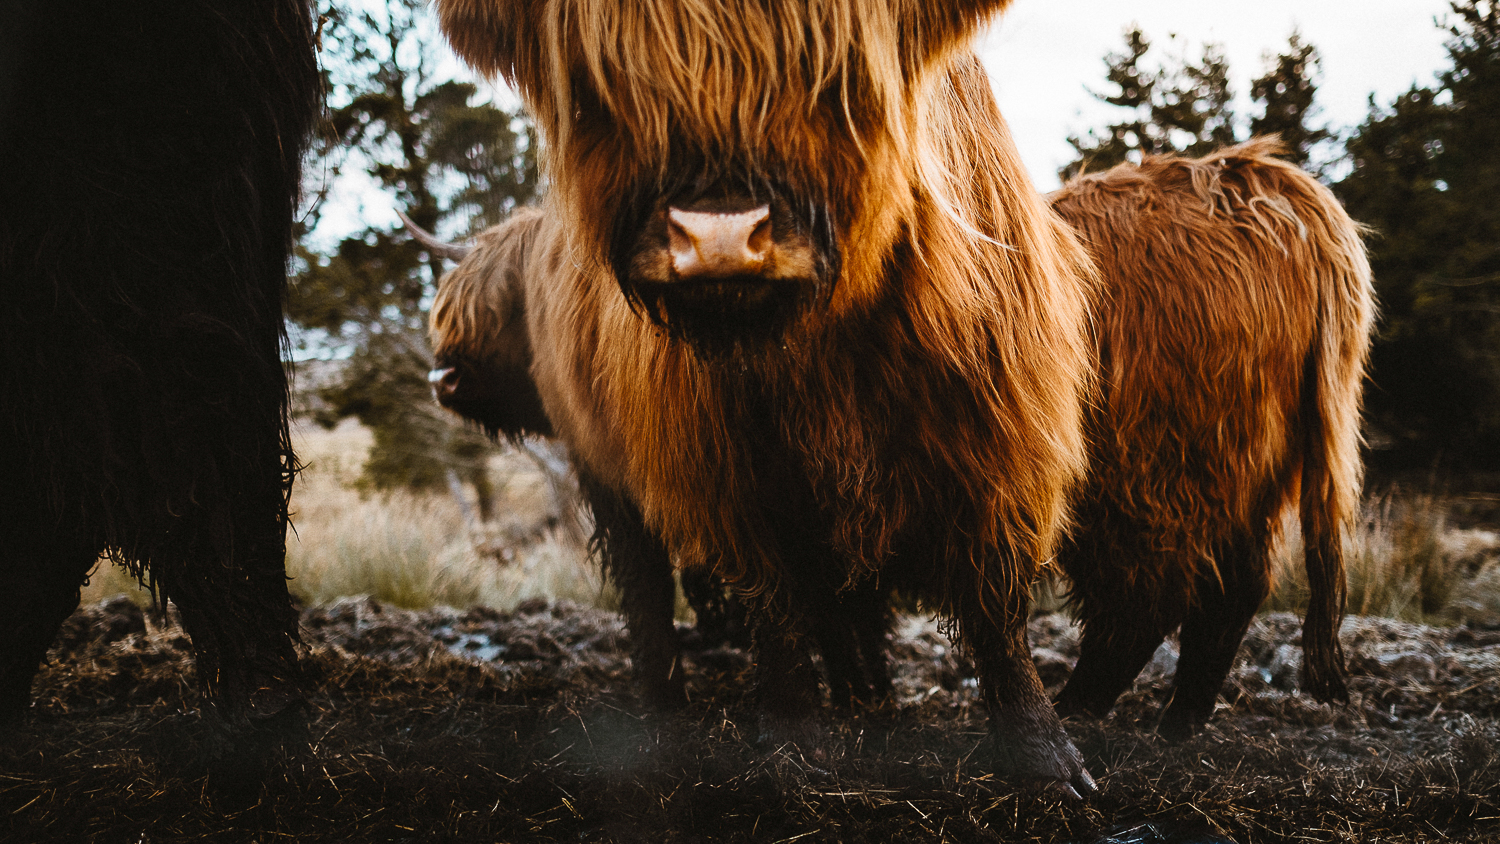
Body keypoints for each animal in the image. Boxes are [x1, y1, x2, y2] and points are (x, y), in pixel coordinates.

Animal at [438, 1, 1104, 791]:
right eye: (605, 89)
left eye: (837, 79)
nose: (718, 237)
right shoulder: (727, 477)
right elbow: (776, 606)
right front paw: (792, 742)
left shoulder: (1000, 447)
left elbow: (995, 609)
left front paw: (1046, 760)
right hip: (606, 470)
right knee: (646, 588)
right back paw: (666, 706)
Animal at [1050, 140, 1374, 740]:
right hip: (1249, 461)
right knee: (1232, 582)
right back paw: (1183, 713)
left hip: (1145, 462)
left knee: (1145, 596)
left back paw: (1076, 709)